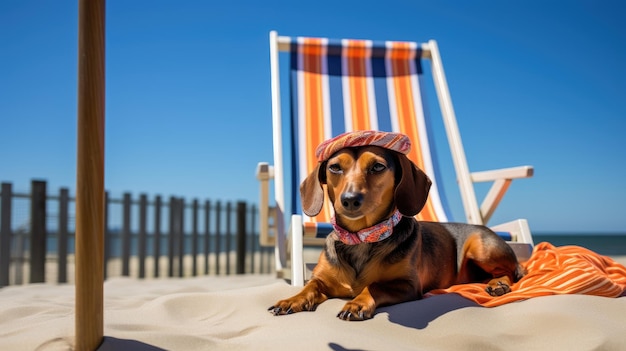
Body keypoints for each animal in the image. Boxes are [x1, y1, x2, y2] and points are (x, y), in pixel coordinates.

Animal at [268, 131, 520, 320]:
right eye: (335, 167)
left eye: (378, 167)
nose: (350, 199)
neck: (362, 236)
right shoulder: (321, 279)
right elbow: (309, 286)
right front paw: (292, 300)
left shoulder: (408, 285)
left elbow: (376, 286)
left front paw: (357, 303)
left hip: (481, 247)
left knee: (511, 271)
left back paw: (499, 284)